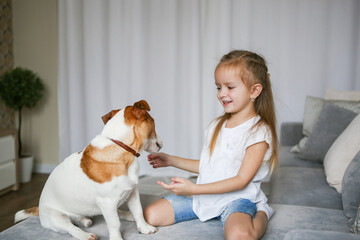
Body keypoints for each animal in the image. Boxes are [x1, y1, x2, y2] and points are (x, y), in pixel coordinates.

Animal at [14, 100, 162, 240]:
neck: (120, 146)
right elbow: (114, 224)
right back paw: (85, 235)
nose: (161, 144)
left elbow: (138, 211)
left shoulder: (132, 192)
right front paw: (117, 238)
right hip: (56, 217)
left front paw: (144, 228)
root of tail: (39, 209)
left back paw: (121, 215)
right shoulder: (107, 202)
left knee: (115, 212)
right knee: (72, 228)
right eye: (154, 122)